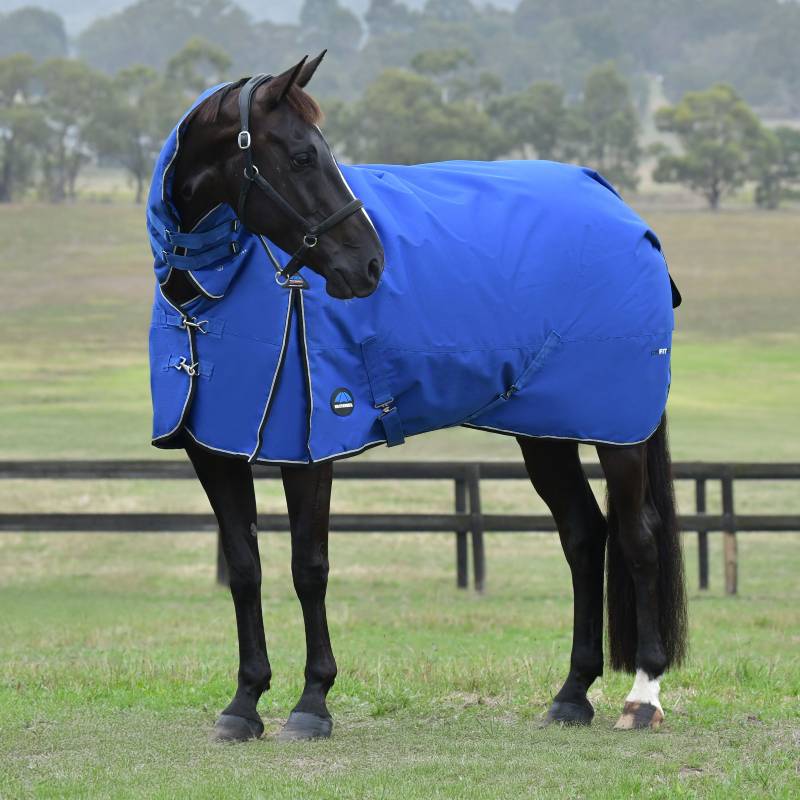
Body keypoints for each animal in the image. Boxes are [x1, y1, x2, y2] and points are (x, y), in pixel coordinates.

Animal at [146, 52, 687, 742]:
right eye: (301, 156)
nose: (371, 265)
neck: (212, 294)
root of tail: (622, 209)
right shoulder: (213, 450)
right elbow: (245, 569)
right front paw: (244, 704)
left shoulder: (310, 446)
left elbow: (308, 567)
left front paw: (311, 702)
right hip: (545, 430)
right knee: (584, 535)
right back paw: (571, 695)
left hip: (618, 429)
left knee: (638, 537)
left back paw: (642, 696)